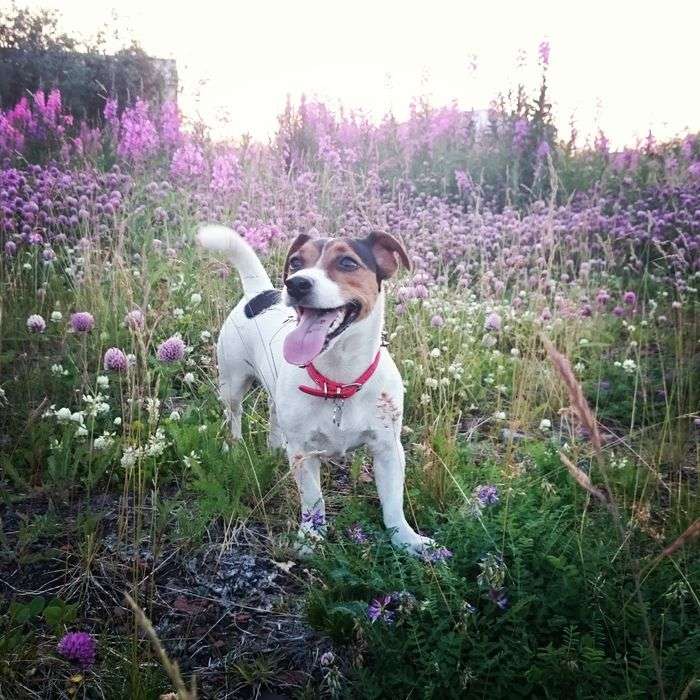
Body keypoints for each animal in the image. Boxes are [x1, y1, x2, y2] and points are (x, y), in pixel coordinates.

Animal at [197, 227, 434, 556]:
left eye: (347, 263)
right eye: (296, 262)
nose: (295, 283)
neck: (338, 380)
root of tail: (259, 293)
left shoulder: (388, 449)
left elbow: (392, 503)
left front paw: (406, 540)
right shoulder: (304, 453)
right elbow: (313, 500)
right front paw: (312, 538)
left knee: (274, 414)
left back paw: (274, 447)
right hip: (232, 384)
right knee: (234, 415)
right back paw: (234, 446)